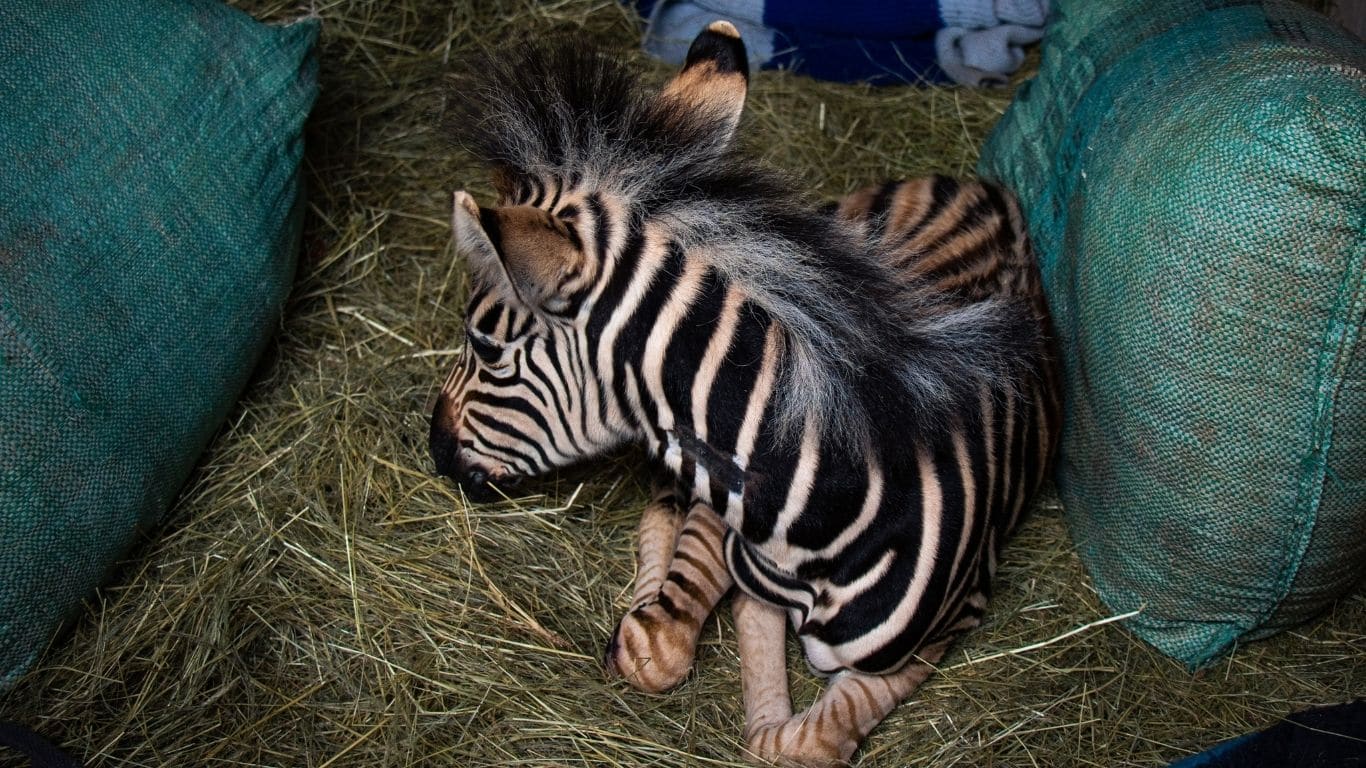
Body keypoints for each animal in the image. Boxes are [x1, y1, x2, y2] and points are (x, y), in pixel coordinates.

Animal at [431, 20, 1060, 759]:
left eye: (483, 345)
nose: (433, 445)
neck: (816, 516)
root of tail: (984, 187)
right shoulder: (726, 524)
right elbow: (665, 637)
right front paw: (652, 603)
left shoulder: (952, 621)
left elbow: (804, 739)